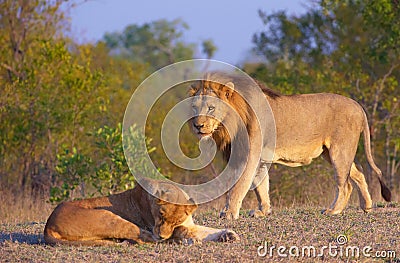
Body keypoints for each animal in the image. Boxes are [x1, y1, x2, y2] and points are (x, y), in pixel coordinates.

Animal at [43, 178, 239, 246]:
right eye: (161, 215)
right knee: (142, 238)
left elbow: (206, 230)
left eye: (175, 220)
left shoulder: (187, 223)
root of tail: (48, 226)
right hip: (109, 218)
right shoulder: (154, 226)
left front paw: (228, 235)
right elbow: (183, 232)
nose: (162, 235)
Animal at [189, 71, 392, 221]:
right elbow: (261, 186)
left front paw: (229, 213)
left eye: (211, 108)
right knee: (358, 172)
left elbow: (239, 186)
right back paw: (366, 206)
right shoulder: (260, 158)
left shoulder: (249, 156)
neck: (228, 124)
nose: (198, 126)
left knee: (345, 184)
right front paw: (263, 211)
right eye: (194, 107)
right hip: (331, 152)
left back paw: (333, 210)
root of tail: (358, 107)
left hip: (339, 150)